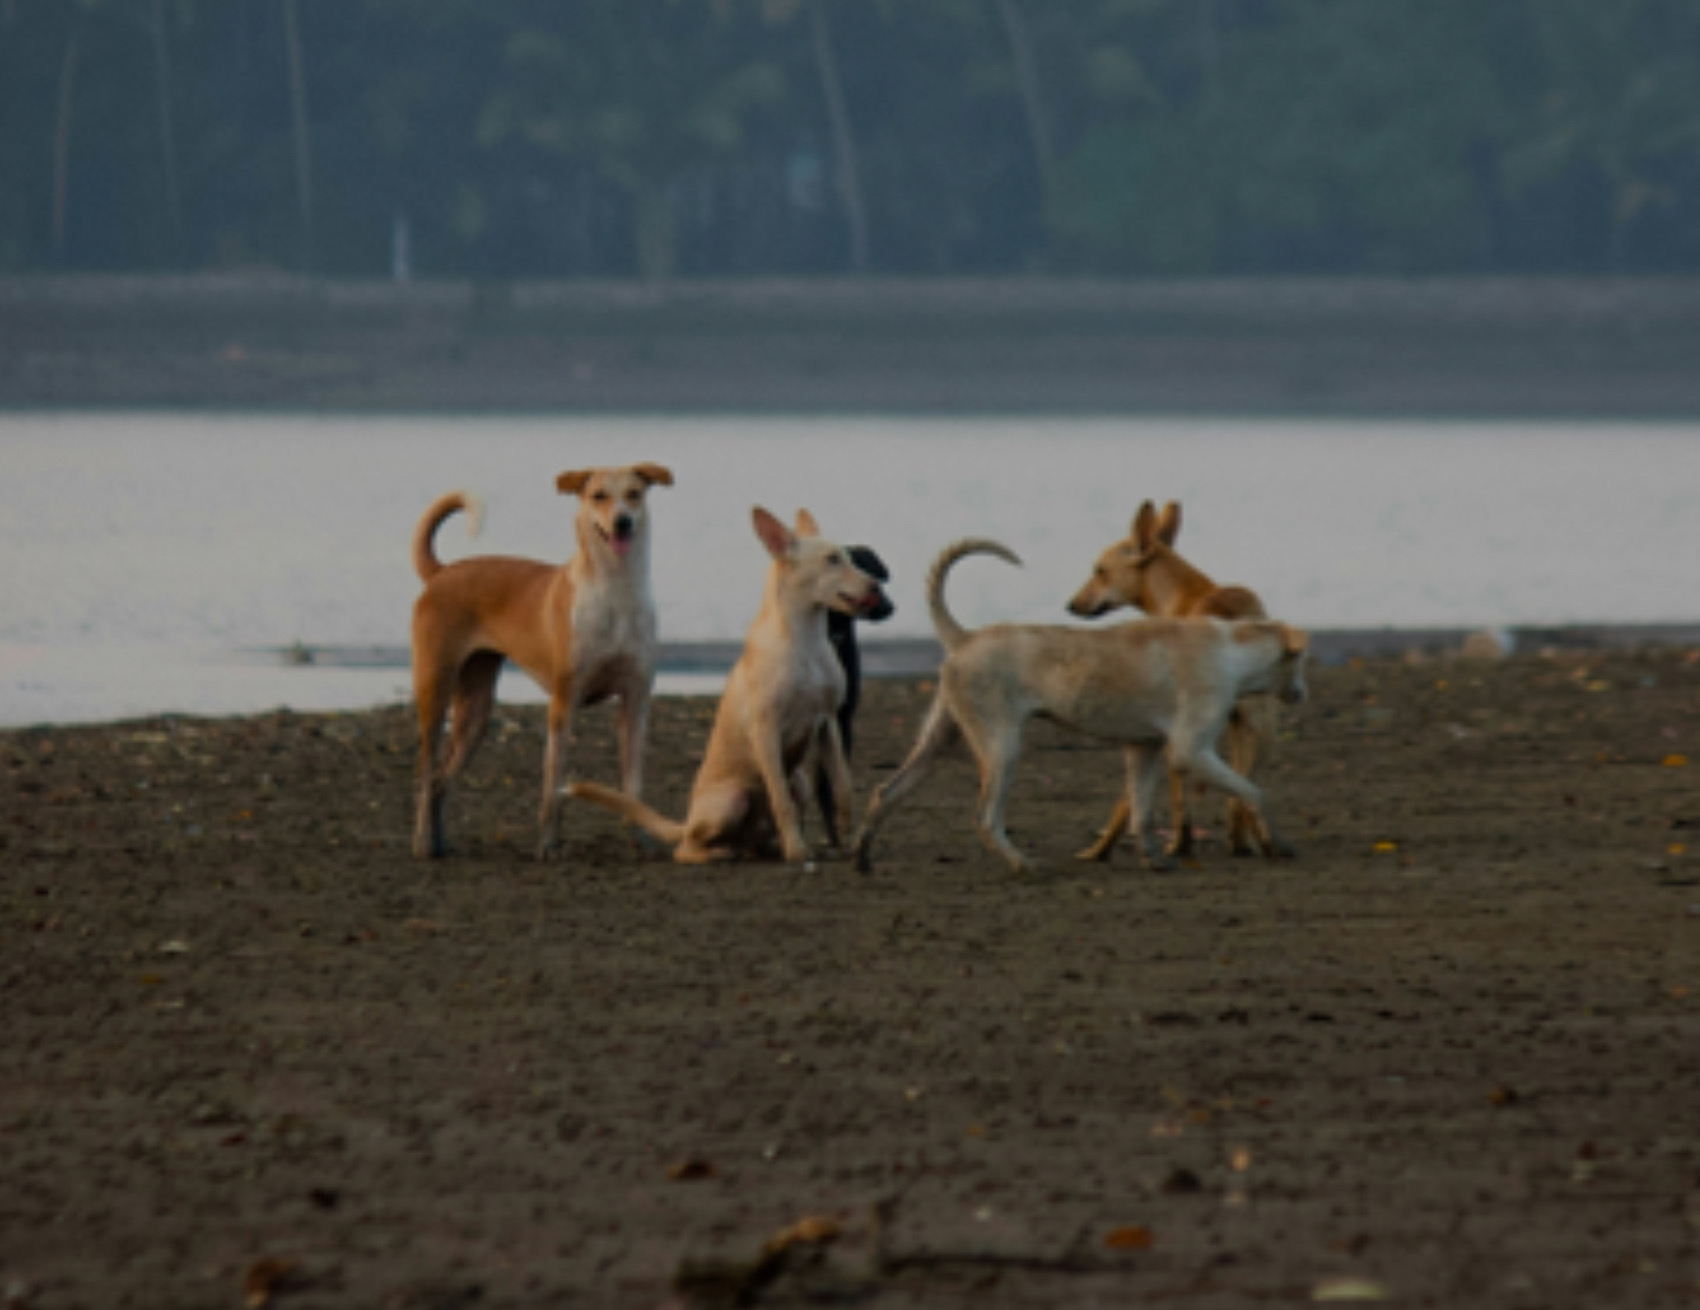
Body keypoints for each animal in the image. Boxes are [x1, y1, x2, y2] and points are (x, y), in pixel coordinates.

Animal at [409, 462, 669, 859]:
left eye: (634, 494)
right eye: (598, 496)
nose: (623, 522)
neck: (615, 592)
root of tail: (442, 572)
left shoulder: (636, 701)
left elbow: (633, 784)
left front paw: (640, 839)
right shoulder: (563, 703)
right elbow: (553, 783)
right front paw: (548, 843)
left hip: (476, 710)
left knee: (441, 779)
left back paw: (442, 843)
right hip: (434, 690)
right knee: (425, 774)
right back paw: (423, 842)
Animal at [856, 536, 1305, 876]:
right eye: (1299, 659)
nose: (1303, 694)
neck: (1231, 651)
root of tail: (965, 637)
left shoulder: (1144, 749)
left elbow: (1142, 812)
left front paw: (1153, 859)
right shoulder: (1190, 751)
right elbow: (1254, 791)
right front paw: (1277, 843)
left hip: (939, 738)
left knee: (885, 791)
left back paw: (862, 858)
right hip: (1003, 748)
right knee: (985, 819)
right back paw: (1023, 865)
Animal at [1067, 499, 1278, 859]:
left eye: (1099, 571)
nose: (1071, 605)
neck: (1183, 596)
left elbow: (1157, 799)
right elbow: (1235, 793)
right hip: (1258, 727)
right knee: (1245, 789)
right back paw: (1248, 842)